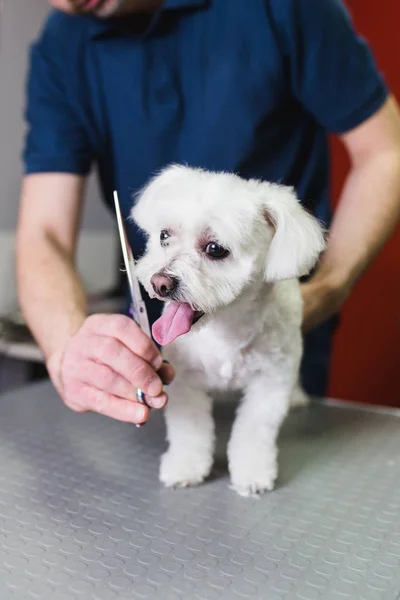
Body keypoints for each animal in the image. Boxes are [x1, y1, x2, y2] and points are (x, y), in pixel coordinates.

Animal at [131, 165, 324, 496]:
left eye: (214, 249)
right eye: (164, 235)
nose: (160, 282)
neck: (226, 325)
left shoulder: (271, 381)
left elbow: (254, 430)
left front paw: (252, 473)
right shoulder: (184, 379)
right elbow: (189, 430)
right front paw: (186, 467)